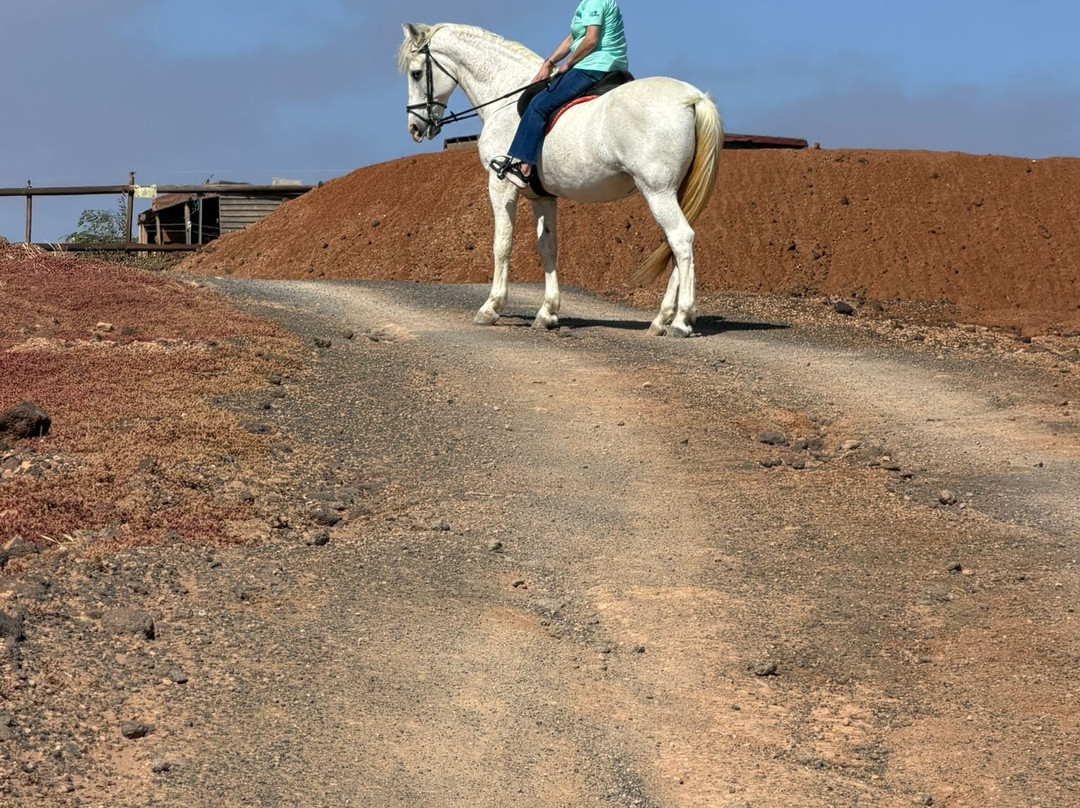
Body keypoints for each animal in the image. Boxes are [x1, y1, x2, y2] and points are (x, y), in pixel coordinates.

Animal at [399, 23, 722, 337]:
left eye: (416, 73)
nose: (415, 128)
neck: (505, 95)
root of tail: (692, 98)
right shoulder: (542, 196)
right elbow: (548, 247)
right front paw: (547, 312)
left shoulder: (500, 185)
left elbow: (501, 244)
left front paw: (491, 307)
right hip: (672, 192)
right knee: (675, 245)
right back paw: (662, 319)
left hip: (657, 191)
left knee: (681, 239)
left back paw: (680, 320)